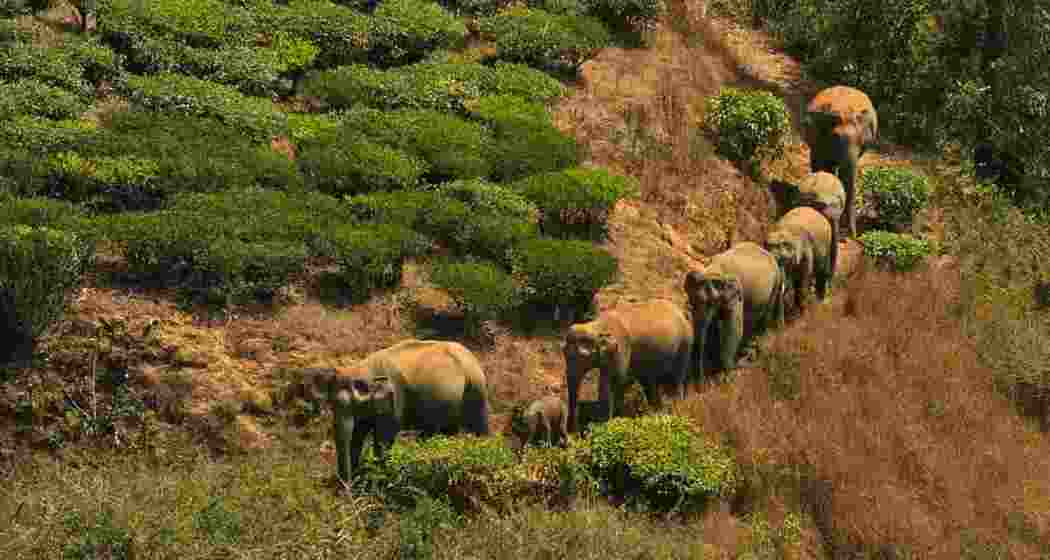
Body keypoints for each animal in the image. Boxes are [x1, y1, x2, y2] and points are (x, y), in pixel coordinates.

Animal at [311, 339, 491, 482]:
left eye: (353, 405)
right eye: (331, 405)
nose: (345, 485)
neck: (363, 368)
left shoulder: (395, 395)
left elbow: (384, 437)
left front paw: (380, 476)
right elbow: (358, 435)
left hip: (475, 388)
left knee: (478, 425)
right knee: (444, 430)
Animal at [562, 299, 694, 433]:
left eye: (583, 357)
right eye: (564, 353)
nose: (574, 433)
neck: (597, 326)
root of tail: (682, 312)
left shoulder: (621, 348)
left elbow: (614, 381)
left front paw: (606, 425)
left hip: (685, 344)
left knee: (676, 379)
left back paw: (675, 410)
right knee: (649, 382)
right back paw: (656, 413)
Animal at [684, 242, 786, 379]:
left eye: (711, 303)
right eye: (691, 303)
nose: (700, 380)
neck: (712, 271)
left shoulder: (737, 294)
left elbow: (733, 328)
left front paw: (725, 375)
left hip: (775, 283)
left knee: (766, 314)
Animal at [802, 85, 878, 239]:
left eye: (862, 141)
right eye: (836, 137)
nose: (852, 236)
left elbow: (846, 175)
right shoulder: (818, 139)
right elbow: (821, 164)